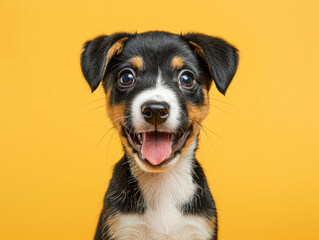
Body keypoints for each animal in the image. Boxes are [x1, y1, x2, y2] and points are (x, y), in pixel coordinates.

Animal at [81, 31, 239, 239]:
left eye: (186, 78)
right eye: (126, 77)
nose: (155, 110)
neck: (162, 186)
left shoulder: (198, 229)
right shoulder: (122, 227)